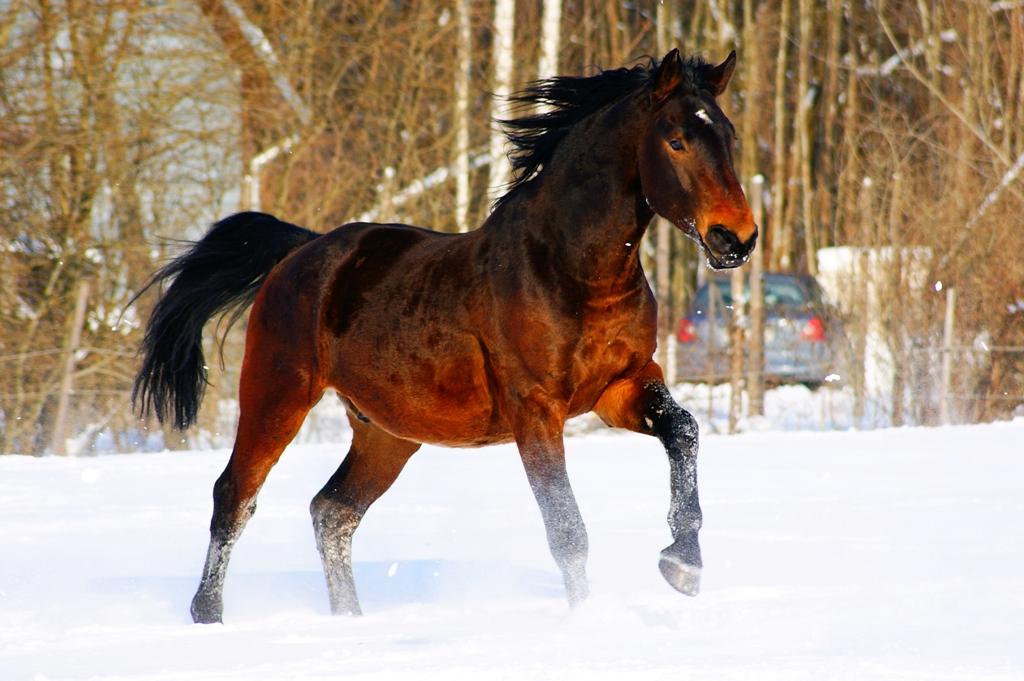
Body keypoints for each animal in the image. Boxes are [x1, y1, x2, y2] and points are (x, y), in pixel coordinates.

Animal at [132, 48, 757, 624]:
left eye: (728, 136)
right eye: (676, 140)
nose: (737, 238)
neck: (572, 271)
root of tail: (300, 252)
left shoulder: (621, 386)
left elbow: (684, 431)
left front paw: (683, 564)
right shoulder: (536, 410)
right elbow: (566, 528)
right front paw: (586, 619)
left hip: (386, 432)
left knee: (332, 512)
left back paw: (350, 620)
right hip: (277, 394)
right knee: (236, 497)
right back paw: (209, 616)